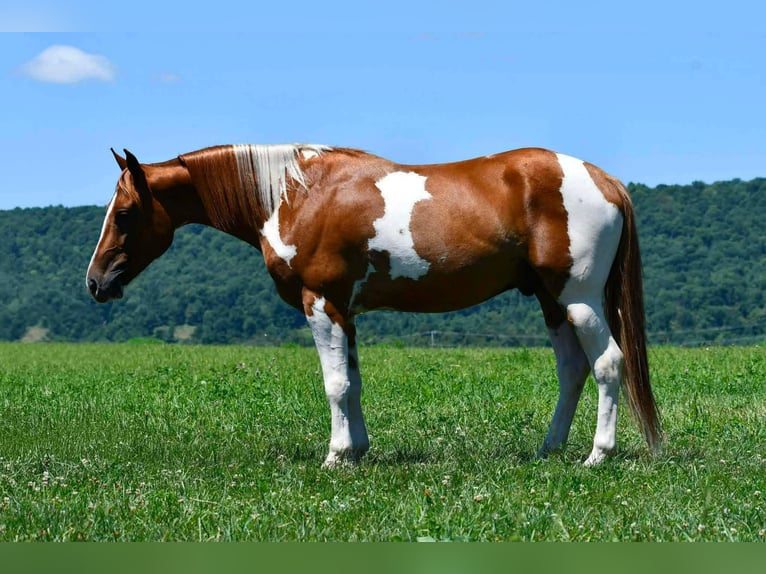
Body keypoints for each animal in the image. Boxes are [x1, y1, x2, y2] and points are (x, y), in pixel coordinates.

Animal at [86, 143, 661, 467]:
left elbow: (335, 385)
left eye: (125, 212)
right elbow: (354, 382)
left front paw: (336, 458)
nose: (96, 282)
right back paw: (550, 450)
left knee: (608, 364)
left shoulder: (321, 303)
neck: (298, 193)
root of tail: (605, 180)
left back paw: (597, 456)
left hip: (578, 298)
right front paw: (357, 450)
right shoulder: (345, 311)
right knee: (572, 370)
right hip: (550, 299)